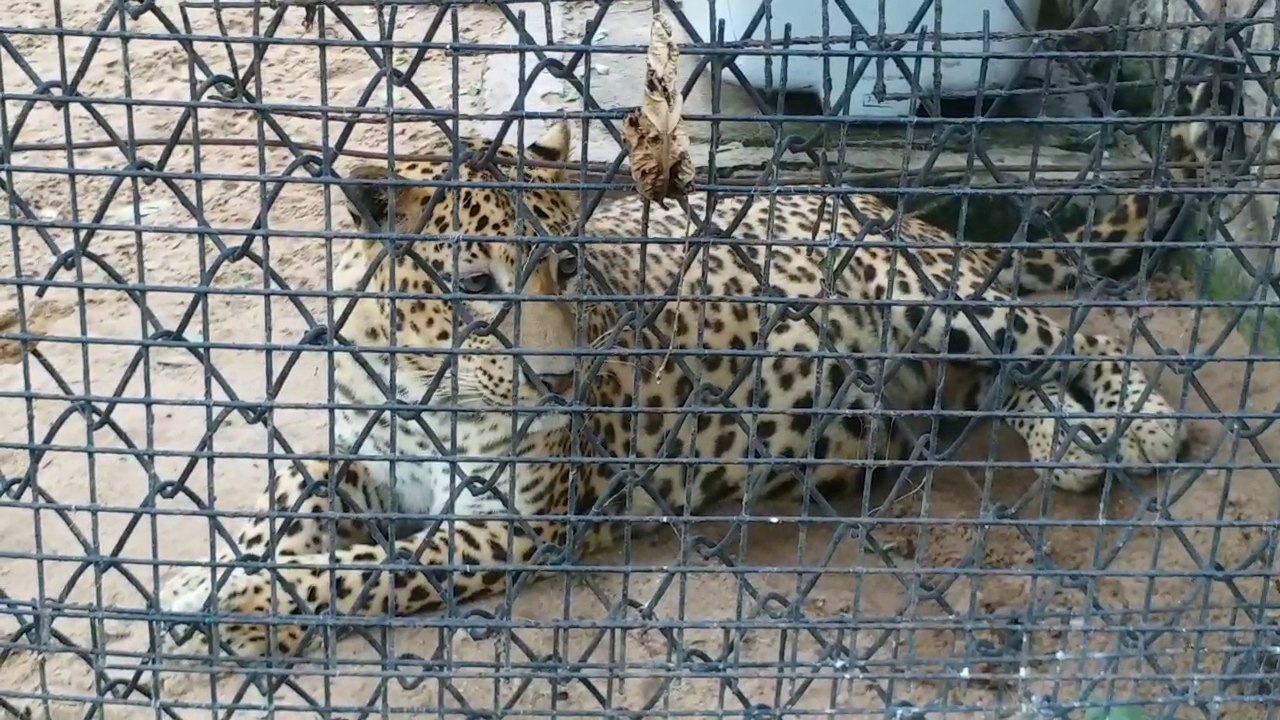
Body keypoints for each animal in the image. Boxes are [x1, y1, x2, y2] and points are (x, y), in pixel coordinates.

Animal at [157, 70, 1239, 666]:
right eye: (471, 286)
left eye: (568, 269)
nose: (560, 381)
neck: (427, 390)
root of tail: (889, 210)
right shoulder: (351, 455)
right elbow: (278, 512)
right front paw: (211, 575)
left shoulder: (517, 521)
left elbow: (375, 574)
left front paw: (236, 607)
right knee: (1009, 386)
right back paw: (1069, 442)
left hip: (934, 295)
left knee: (1068, 336)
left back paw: (1133, 424)